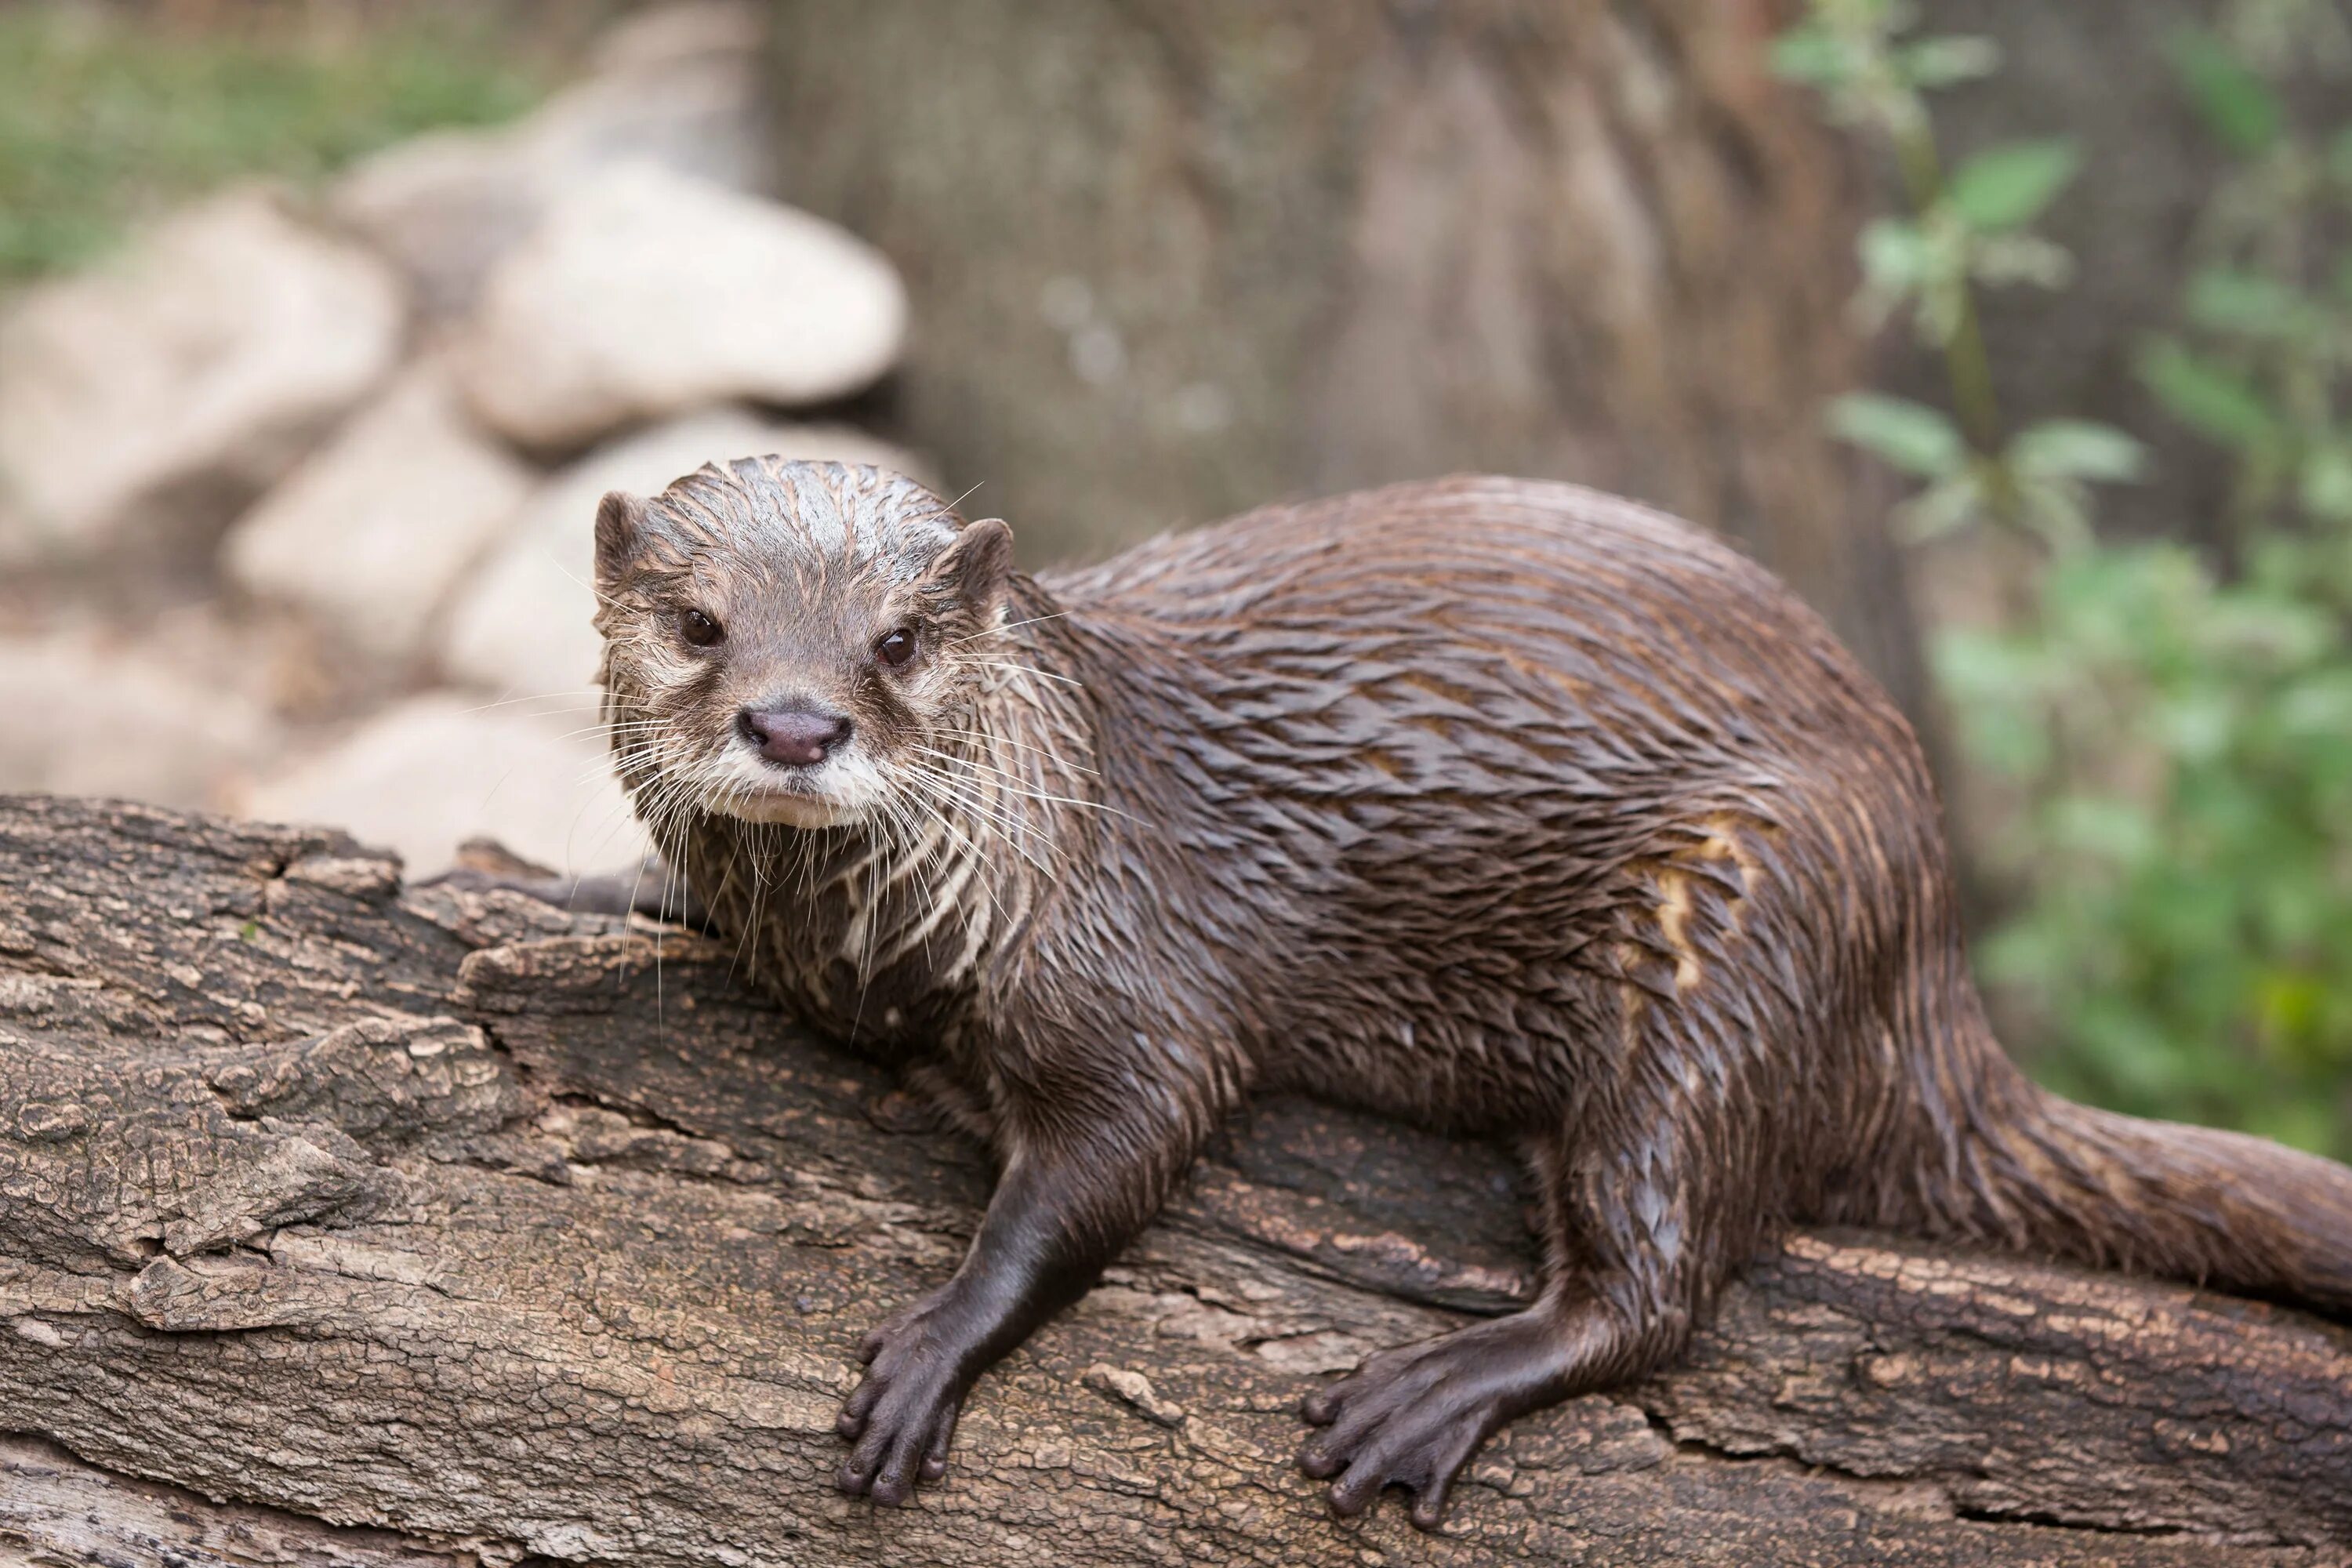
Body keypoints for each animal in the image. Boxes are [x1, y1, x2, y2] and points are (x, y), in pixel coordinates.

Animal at [534, 460, 2352, 1523]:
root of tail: (1933, 953)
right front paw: (588, 879)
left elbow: (1109, 1162)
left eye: (901, 642)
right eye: (699, 623)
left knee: (1662, 1275)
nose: (793, 724)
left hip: (1736, 934)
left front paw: (934, 1350)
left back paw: (1431, 1390)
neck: (877, 947)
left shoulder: (1130, 968)